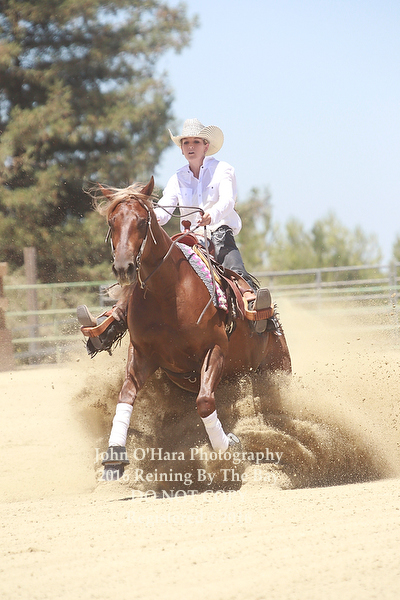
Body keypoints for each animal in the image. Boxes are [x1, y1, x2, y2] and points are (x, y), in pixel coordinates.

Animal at [95, 177, 291, 479]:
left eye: (142, 221)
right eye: (112, 221)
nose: (123, 267)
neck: (168, 294)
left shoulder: (215, 349)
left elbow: (205, 402)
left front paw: (228, 446)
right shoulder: (142, 354)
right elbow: (126, 395)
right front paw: (114, 457)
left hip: (278, 370)